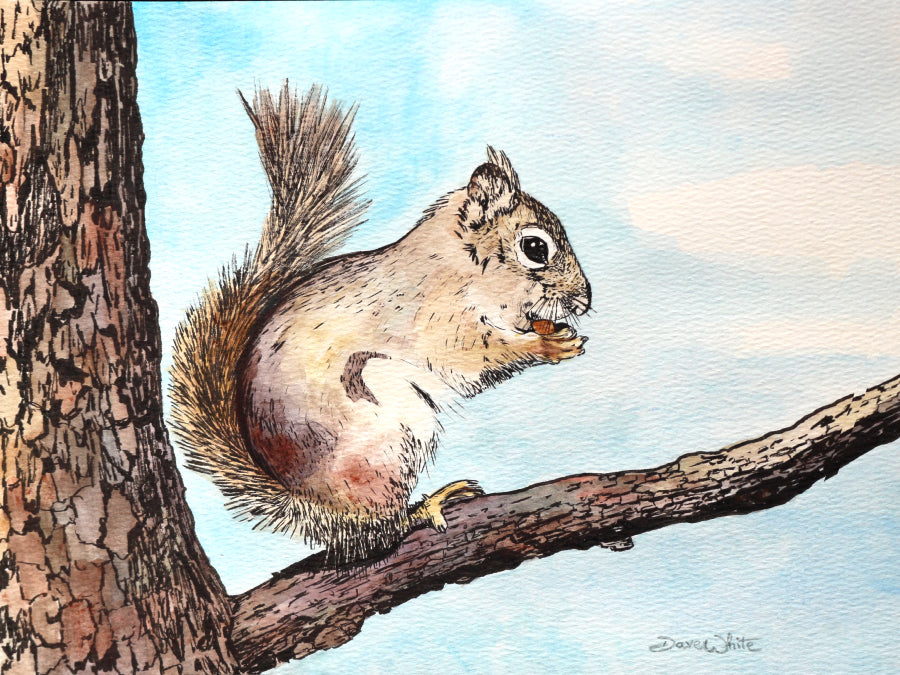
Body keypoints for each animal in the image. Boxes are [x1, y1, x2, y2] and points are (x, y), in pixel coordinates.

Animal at [169, 83, 591, 565]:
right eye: (536, 248)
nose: (586, 299)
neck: (459, 267)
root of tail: (304, 503)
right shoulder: (440, 320)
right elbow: (477, 356)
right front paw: (548, 347)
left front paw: (550, 331)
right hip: (386, 433)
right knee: (380, 526)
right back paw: (426, 507)